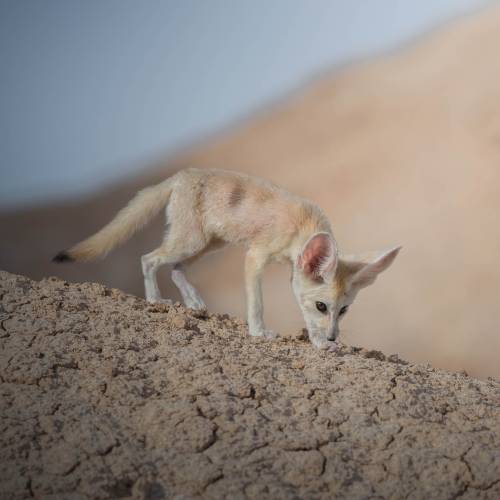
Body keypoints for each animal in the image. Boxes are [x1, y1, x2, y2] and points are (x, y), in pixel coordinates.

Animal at [54, 168, 400, 348]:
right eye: (322, 306)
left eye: (343, 310)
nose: (333, 338)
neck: (305, 226)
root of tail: (180, 175)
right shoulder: (255, 257)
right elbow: (256, 304)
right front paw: (259, 332)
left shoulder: (291, 271)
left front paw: (317, 342)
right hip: (191, 242)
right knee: (148, 258)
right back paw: (155, 300)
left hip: (208, 245)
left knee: (175, 268)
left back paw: (194, 302)